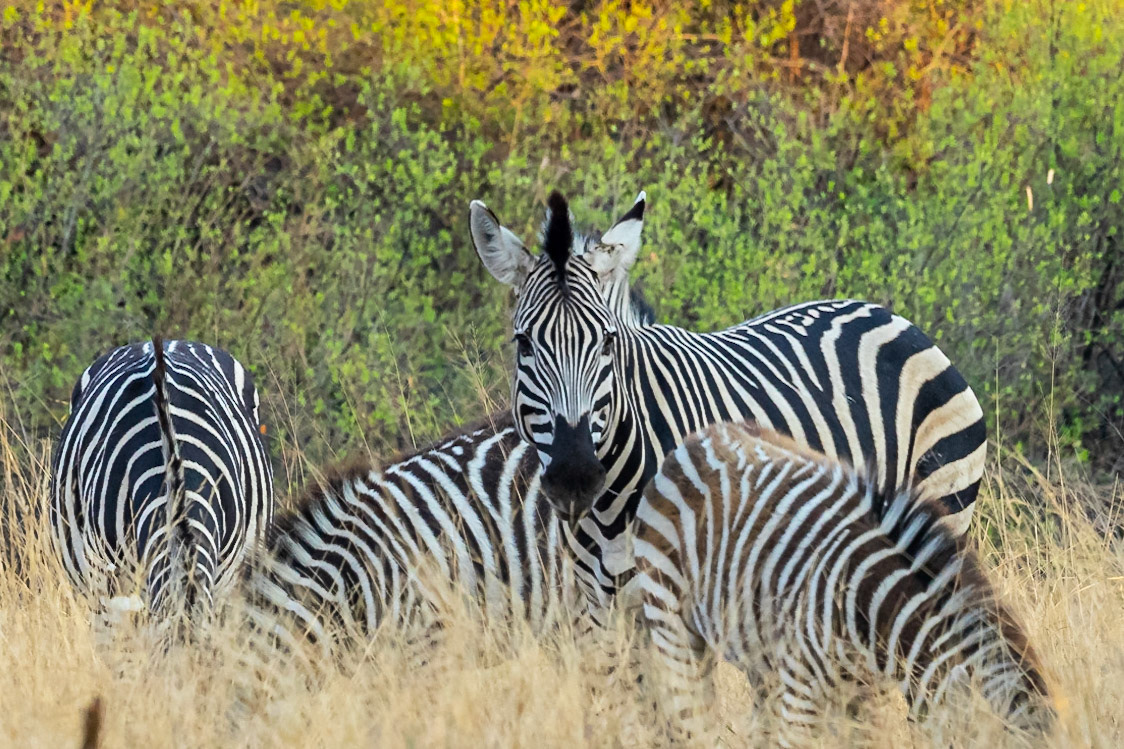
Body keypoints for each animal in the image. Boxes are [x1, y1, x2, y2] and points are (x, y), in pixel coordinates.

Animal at [469, 190, 986, 616]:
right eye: (523, 344)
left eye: (608, 343)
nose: (575, 478)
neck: (612, 509)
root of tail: (887, 315)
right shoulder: (598, 603)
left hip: (943, 514)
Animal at [633, 421, 1056, 745]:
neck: (872, 602)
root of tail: (697, 438)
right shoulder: (802, 692)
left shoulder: (862, 696)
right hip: (674, 626)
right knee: (693, 720)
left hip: (760, 655)